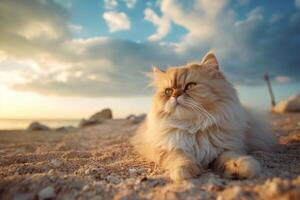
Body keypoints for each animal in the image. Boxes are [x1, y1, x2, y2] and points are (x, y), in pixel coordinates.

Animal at [131, 51, 276, 181]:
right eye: (168, 91)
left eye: (190, 86)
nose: (175, 95)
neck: (193, 127)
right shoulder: (165, 148)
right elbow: (179, 156)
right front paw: (184, 170)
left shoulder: (227, 147)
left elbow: (231, 156)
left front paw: (240, 167)